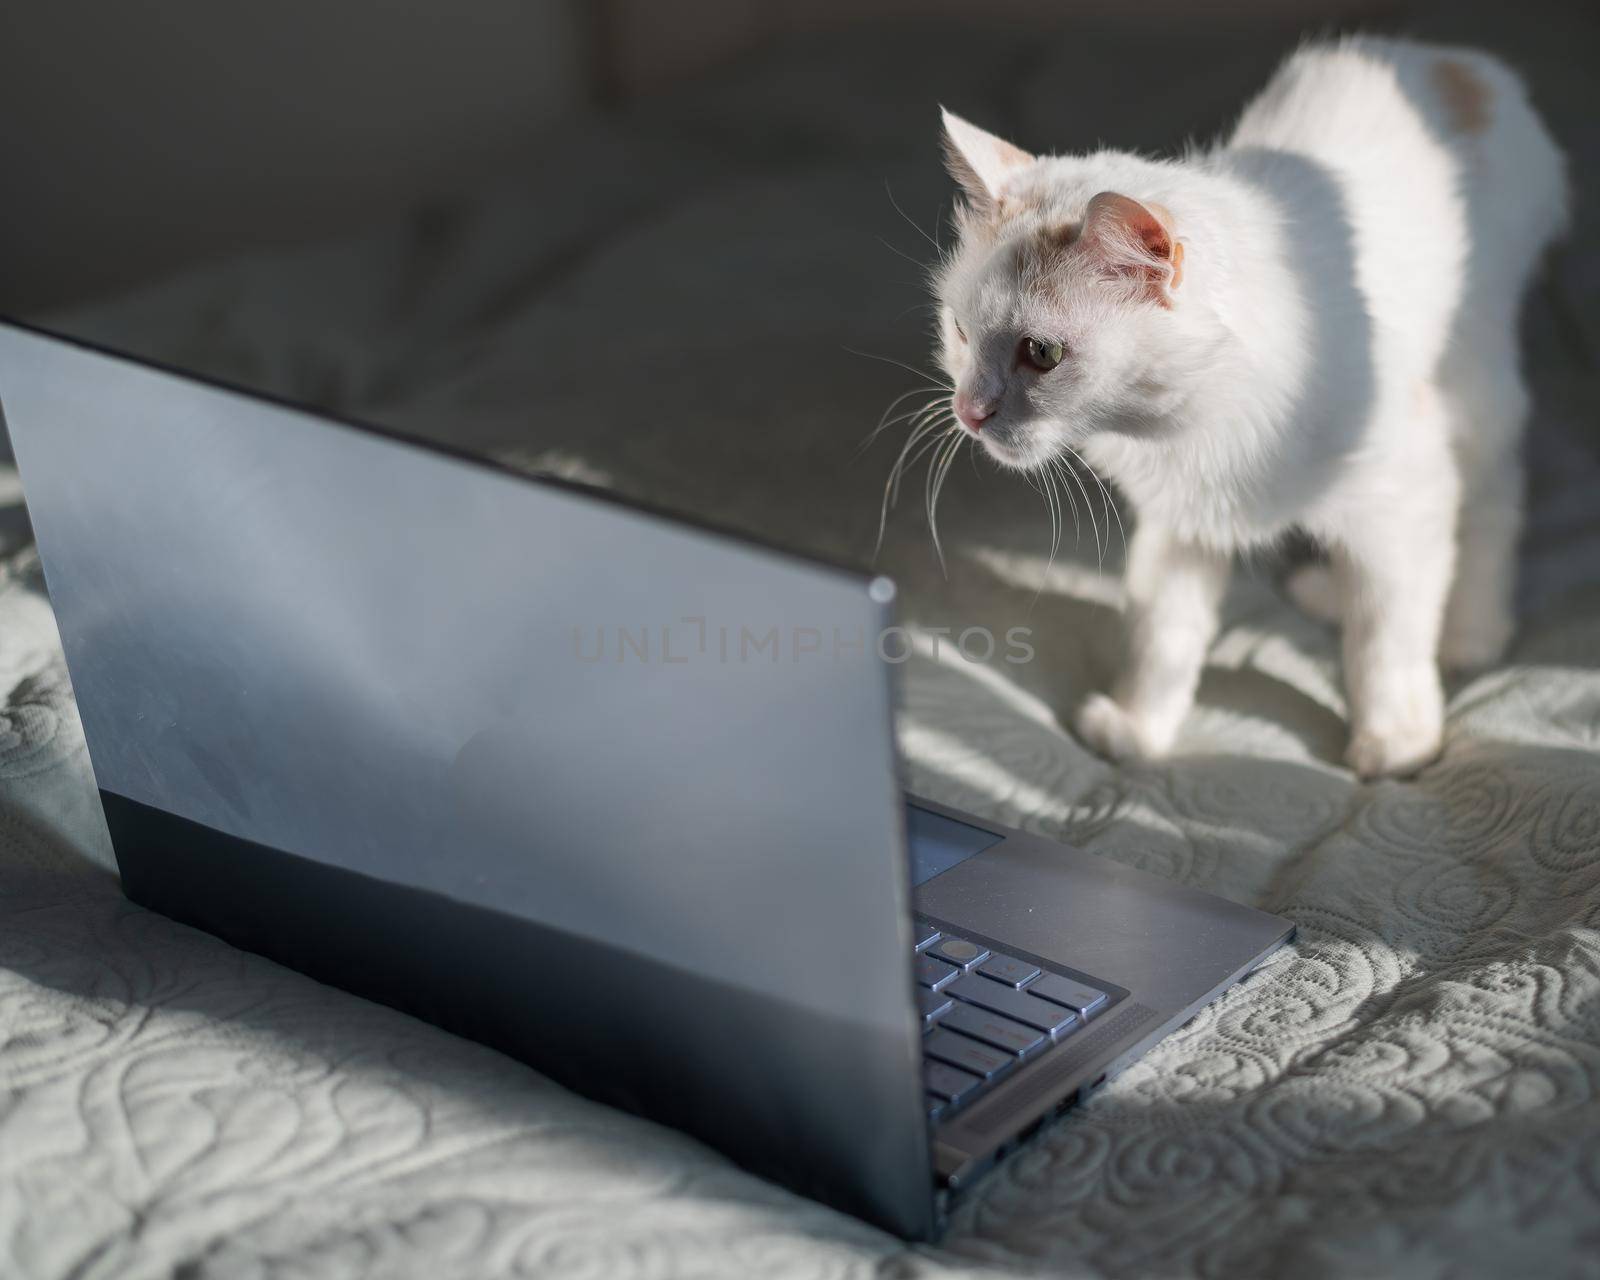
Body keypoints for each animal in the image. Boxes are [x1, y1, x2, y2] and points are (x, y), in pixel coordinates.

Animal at [934, 37, 1568, 780]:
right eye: (960, 331)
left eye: (1041, 353)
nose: (968, 411)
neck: (1188, 424)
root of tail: (1457, 62)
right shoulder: (1182, 526)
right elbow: (1163, 636)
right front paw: (1137, 730)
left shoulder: (1407, 496)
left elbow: (1388, 638)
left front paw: (1397, 745)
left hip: (1474, 390)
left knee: (1495, 502)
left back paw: (1472, 634)